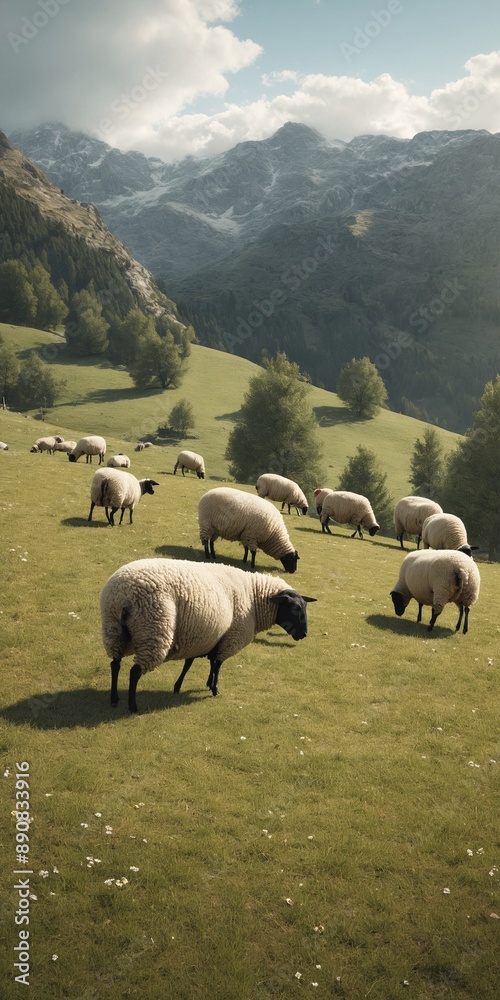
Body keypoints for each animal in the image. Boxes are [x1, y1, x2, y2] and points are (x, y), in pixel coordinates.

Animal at [100, 557, 316, 711]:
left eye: (304, 607)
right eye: (295, 608)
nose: (304, 634)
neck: (254, 598)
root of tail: (124, 596)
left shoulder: (207, 637)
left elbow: (198, 663)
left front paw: (186, 685)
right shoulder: (229, 638)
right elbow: (218, 664)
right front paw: (214, 689)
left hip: (114, 631)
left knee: (115, 664)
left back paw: (114, 699)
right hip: (153, 630)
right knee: (134, 672)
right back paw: (132, 706)